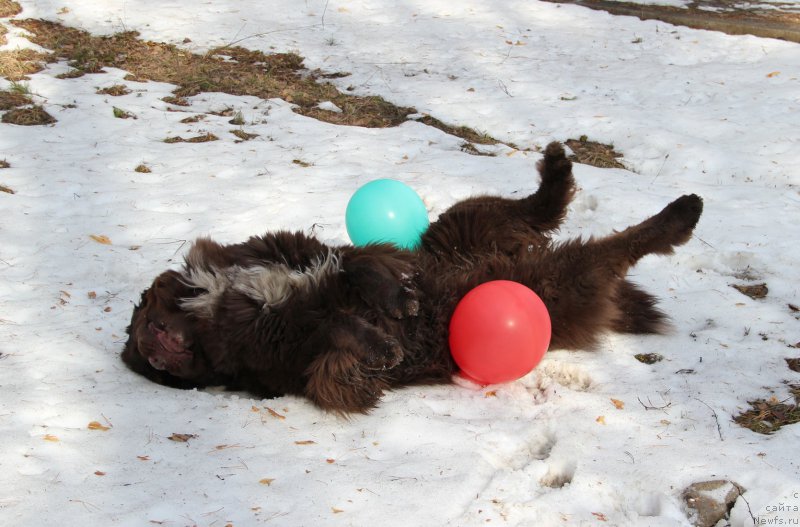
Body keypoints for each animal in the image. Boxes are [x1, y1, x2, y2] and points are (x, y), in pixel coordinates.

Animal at [122, 142, 704, 414]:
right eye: (149, 365)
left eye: (146, 316)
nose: (154, 350)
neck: (218, 299)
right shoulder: (312, 367)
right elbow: (334, 328)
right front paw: (383, 341)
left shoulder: (314, 252)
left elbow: (358, 267)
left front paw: (397, 300)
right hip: (554, 279)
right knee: (614, 247)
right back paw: (679, 215)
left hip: (461, 228)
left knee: (534, 208)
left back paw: (563, 171)